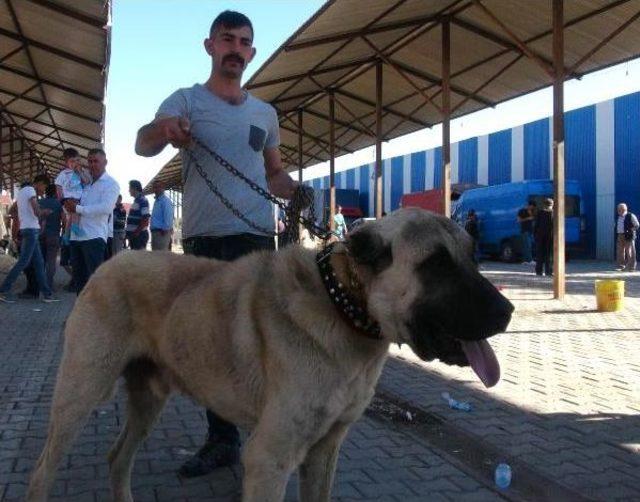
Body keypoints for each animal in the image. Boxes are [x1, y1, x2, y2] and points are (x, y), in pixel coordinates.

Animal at [27, 206, 512, 500]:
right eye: (436, 264)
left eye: (471, 257)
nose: (507, 312)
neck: (343, 302)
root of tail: (110, 262)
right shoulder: (268, 459)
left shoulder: (323, 453)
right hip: (79, 394)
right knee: (41, 471)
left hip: (148, 401)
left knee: (117, 457)